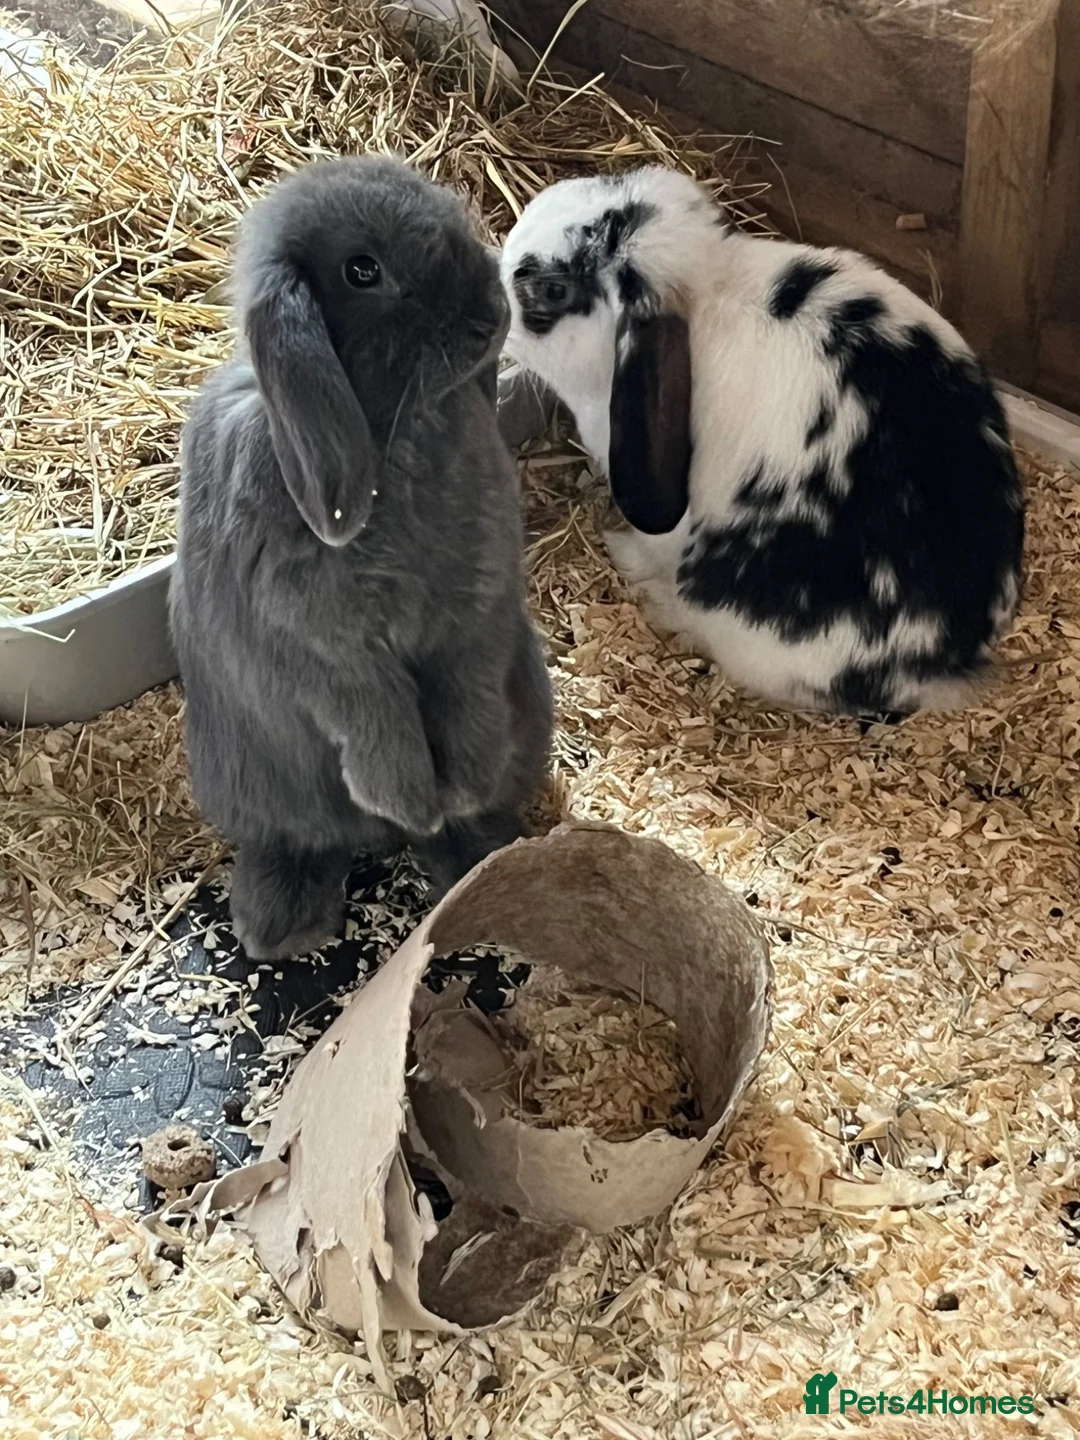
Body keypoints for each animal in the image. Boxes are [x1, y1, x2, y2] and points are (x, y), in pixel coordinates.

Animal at [169, 156, 554, 961]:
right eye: (362, 270)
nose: (490, 311)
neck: (389, 432)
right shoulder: (322, 648)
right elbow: (373, 715)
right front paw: (412, 798)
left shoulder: (476, 609)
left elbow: (467, 689)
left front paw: (461, 787)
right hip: (252, 784)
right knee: (303, 839)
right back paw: (282, 923)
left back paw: (479, 853)